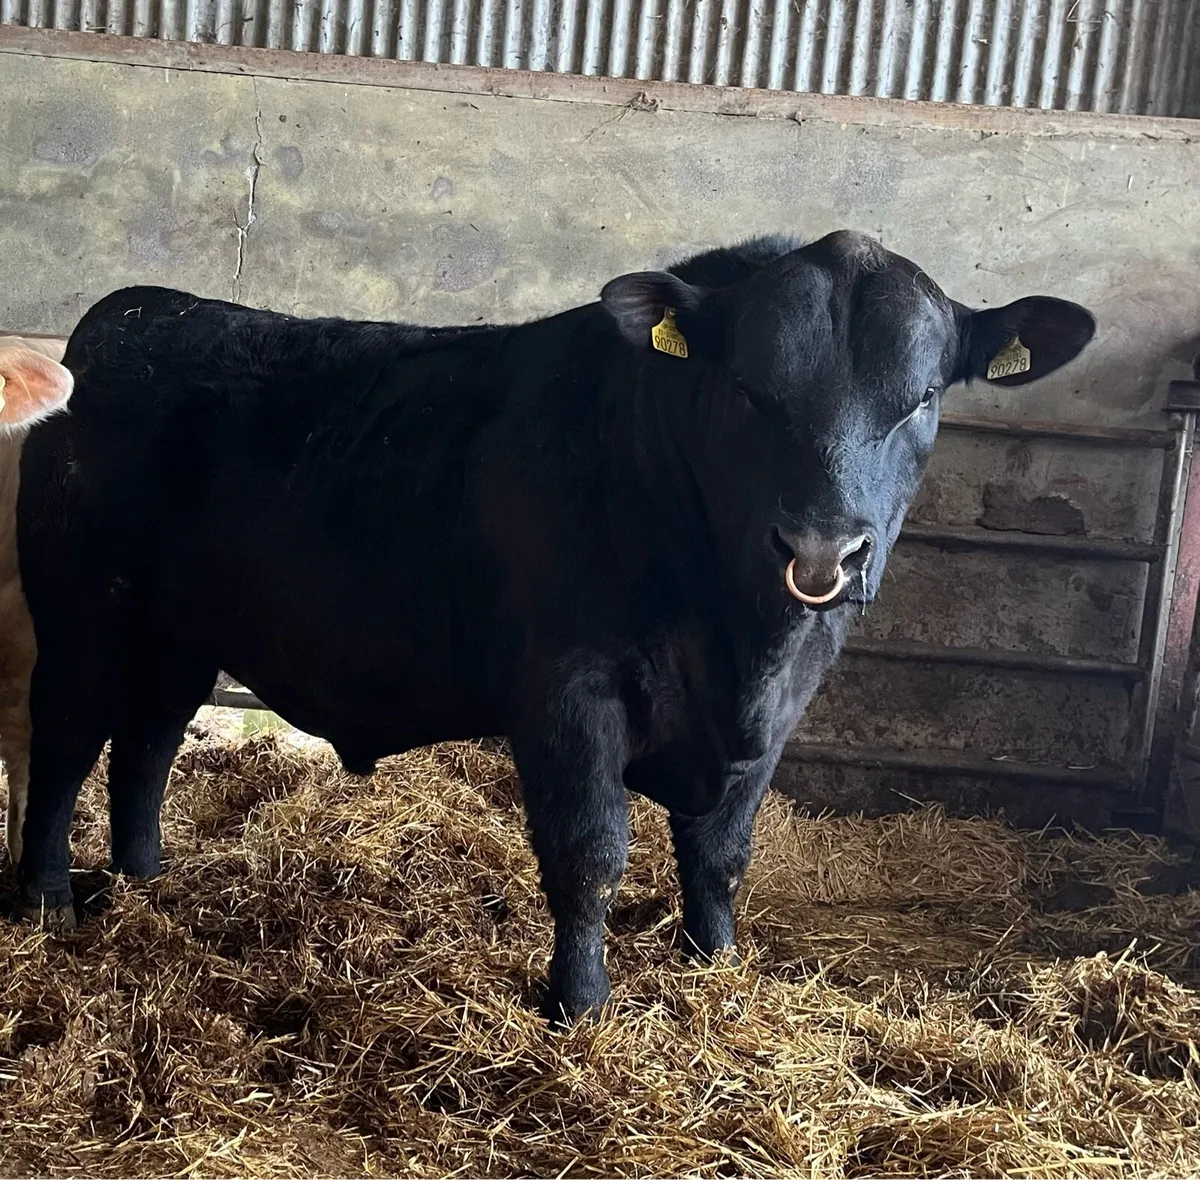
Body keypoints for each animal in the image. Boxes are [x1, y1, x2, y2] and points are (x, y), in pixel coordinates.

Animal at [11, 232, 1095, 1023]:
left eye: (921, 398)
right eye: (750, 390)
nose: (823, 547)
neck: (738, 643)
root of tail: (143, 309)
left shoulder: (779, 713)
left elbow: (722, 852)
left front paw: (714, 967)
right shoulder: (570, 692)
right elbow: (589, 852)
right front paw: (579, 1005)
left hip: (179, 633)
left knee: (148, 742)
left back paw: (145, 879)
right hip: (82, 613)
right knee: (64, 742)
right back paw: (47, 896)